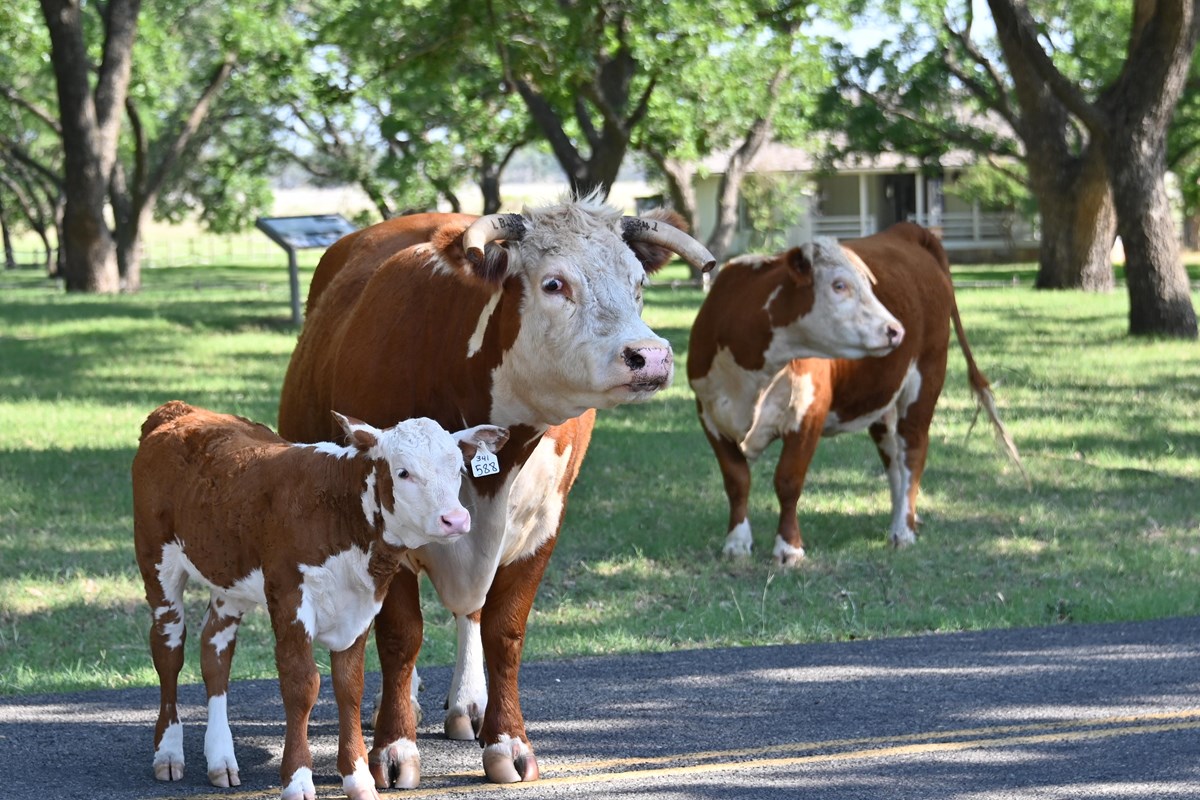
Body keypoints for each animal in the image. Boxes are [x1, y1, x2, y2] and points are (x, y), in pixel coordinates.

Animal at [132, 400, 507, 800]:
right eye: (403, 472)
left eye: (458, 469)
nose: (455, 519)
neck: (339, 509)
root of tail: (178, 410)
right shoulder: (289, 600)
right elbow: (302, 686)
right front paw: (297, 779)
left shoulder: (360, 607)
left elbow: (349, 687)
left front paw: (358, 778)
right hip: (157, 562)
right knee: (169, 649)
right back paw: (169, 753)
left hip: (229, 578)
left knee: (214, 653)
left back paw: (221, 759)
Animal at [276, 194, 717, 787]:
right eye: (554, 283)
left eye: (638, 283)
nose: (650, 355)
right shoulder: (386, 531)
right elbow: (401, 637)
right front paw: (394, 747)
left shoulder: (543, 525)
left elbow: (504, 632)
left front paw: (508, 741)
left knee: (472, 615)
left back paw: (469, 705)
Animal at [688, 222, 1025, 565]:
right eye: (839, 285)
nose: (895, 330)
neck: (752, 374)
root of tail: (906, 230)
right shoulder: (709, 414)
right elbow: (737, 481)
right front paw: (737, 543)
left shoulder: (808, 414)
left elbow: (788, 480)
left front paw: (789, 548)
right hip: (881, 398)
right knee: (893, 459)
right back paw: (905, 516)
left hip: (926, 377)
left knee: (912, 451)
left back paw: (902, 530)